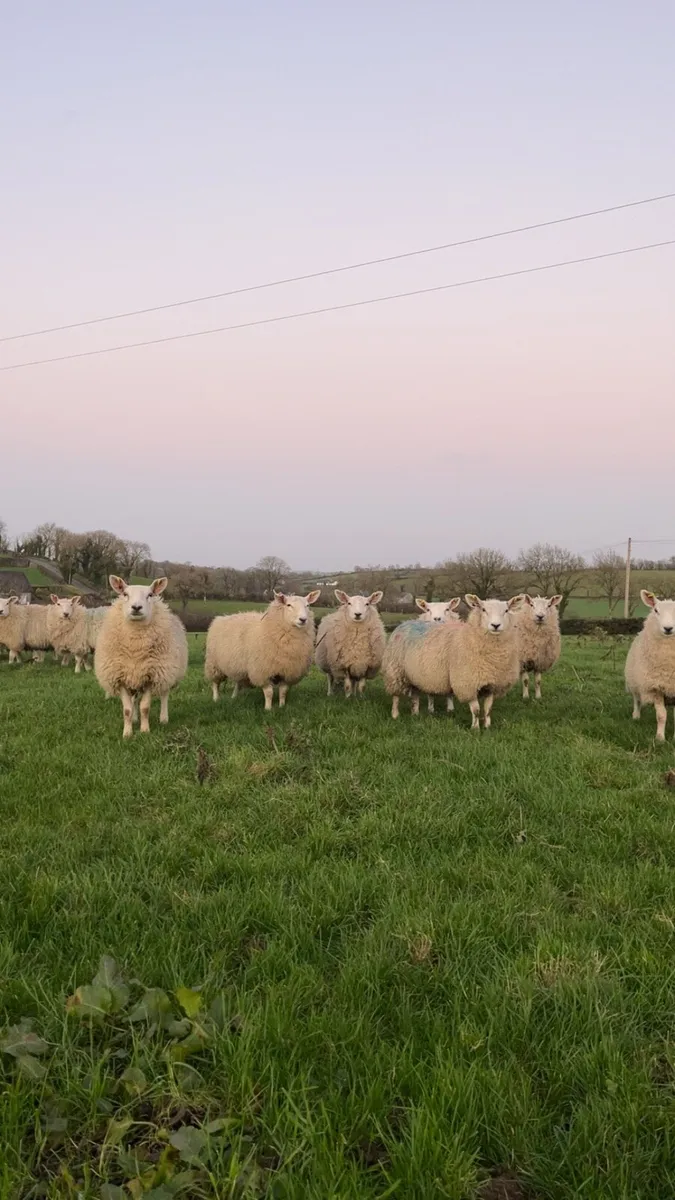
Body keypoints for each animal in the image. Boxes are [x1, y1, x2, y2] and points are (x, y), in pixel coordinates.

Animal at [94, 576, 188, 737]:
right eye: (125, 594)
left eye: (150, 595)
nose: (136, 607)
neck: (136, 646)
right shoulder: (121, 677)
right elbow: (127, 709)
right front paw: (127, 733)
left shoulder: (151, 676)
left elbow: (145, 707)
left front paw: (145, 730)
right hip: (135, 677)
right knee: (135, 699)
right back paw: (135, 718)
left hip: (167, 672)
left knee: (164, 694)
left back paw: (163, 718)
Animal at [625, 590, 675, 741]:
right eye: (656, 610)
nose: (668, 628)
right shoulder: (655, 687)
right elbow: (661, 715)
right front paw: (660, 738)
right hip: (635, 681)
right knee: (637, 699)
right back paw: (636, 716)